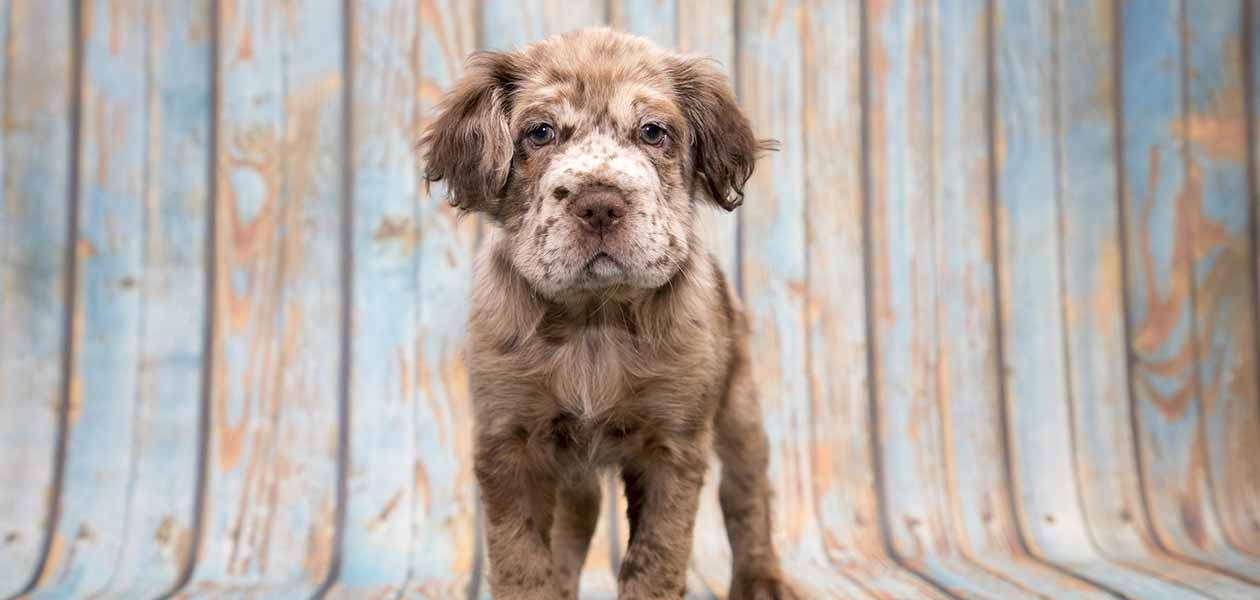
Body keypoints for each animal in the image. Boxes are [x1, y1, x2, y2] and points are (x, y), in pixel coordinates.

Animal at [420, 25, 796, 597]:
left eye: (652, 132)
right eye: (540, 133)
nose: (599, 205)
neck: (593, 319)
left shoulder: (672, 444)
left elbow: (655, 558)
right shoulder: (509, 440)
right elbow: (522, 559)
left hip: (740, 405)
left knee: (746, 493)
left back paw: (763, 579)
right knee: (577, 520)